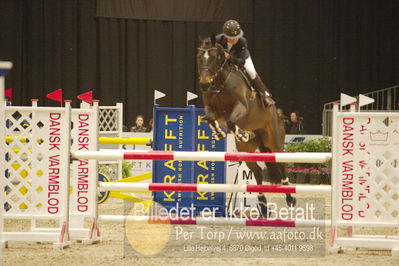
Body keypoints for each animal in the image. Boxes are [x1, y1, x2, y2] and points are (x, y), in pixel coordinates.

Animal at [197, 35, 296, 218]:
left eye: (213, 57)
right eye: (199, 57)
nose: (204, 84)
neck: (220, 83)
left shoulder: (242, 107)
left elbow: (231, 121)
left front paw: (242, 133)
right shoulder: (211, 109)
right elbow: (210, 118)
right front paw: (220, 133)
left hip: (274, 142)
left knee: (281, 164)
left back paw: (290, 197)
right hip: (246, 150)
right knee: (257, 172)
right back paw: (263, 207)